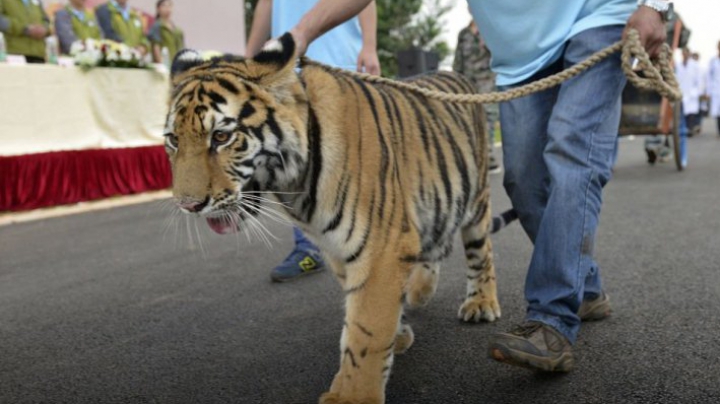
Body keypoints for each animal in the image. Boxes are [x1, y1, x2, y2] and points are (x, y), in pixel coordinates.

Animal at [167, 34, 506, 404]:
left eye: (221, 137)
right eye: (173, 140)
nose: (188, 205)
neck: (295, 185)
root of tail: (456, 74)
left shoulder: (381, 248)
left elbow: (367, 330)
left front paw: (352, 396)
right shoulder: (338, 248)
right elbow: (358, 317)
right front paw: (399, 333)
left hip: (476, 200)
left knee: (481, 253)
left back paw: (480, 303)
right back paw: (421, 291)